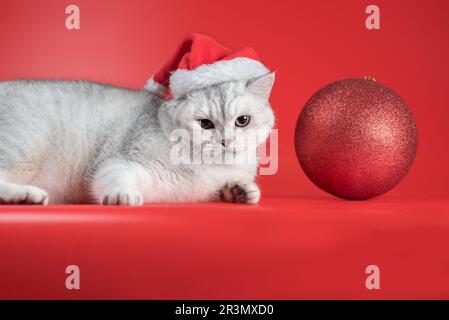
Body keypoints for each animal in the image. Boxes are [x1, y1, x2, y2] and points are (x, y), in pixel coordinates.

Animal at [0, 73, 272, 205]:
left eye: (242, 121)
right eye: (205, 124)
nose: (226, 141)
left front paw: (240, 190)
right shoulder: (124, 162)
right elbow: (118, 178)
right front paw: (122, 195)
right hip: (25, 146)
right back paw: (26, 196)